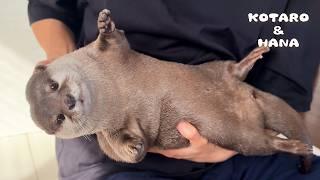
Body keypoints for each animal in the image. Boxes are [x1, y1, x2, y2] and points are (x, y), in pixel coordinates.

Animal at [26, 8, 312, 173]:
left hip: (215, 69)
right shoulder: (105, 132)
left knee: (233, 70)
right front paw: (135, 147)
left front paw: (105, 24)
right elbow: (117, 150)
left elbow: (114, 39)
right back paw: (296, 147)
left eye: (53, 85)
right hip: (239, 138)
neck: (112, 91)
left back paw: (254, 55)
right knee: (264, 143)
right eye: (58, 119)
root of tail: (246, 100)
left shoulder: (110, 54)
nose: (68, 102)